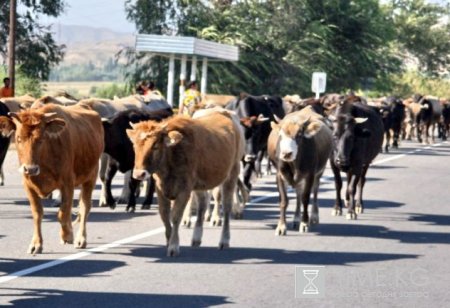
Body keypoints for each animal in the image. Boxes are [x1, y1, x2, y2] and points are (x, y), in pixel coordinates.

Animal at [0, 103, 103, 253]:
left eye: (41, 139)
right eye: (18, 138)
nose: (30, 169)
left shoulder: (67, 183)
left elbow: (63, 212)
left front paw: (66, 236)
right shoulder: (28, 185)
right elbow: (38, 213)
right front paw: (36, 244)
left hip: (91, 177)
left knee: (84, 207)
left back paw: (80, 239)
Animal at [126, 112, 246, 256]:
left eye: (155, 146)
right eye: (134, 145)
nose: (139, 174)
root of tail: (225, 114)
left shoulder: (184, 190)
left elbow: (176, 216)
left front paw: (173, 246)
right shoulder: (161, 189)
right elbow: (164, 214)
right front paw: (168, 241)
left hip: (232, 174)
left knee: (227, 207)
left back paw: (224, 241)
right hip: (201, 184)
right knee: (202, 204)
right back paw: (196, 238)